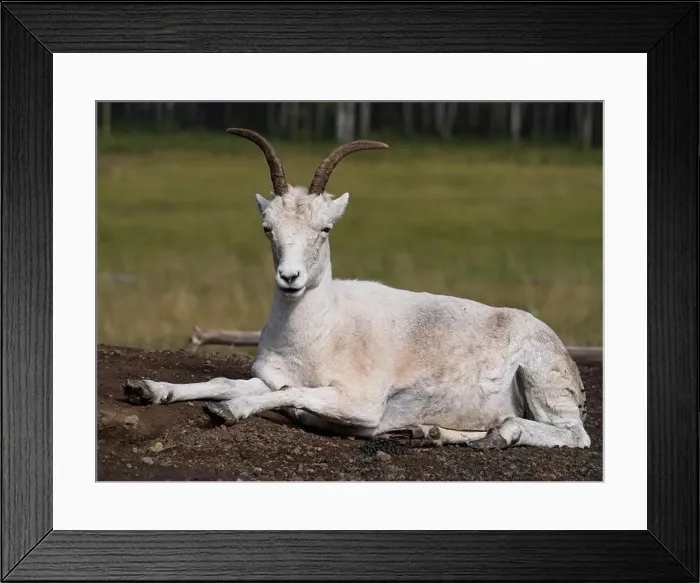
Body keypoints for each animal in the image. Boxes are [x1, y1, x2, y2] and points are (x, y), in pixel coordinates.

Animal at [122, 128, 590, 449]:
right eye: (267, 228)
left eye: (325, 228)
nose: (290, 278)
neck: (321, 335)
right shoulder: (271, 379)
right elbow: (229, 381)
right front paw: (147, 388)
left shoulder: (360, 403)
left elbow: (291, 396)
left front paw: (228, 411)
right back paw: (428, 431)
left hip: (542, 384)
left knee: (573, 435)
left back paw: (500, 434)